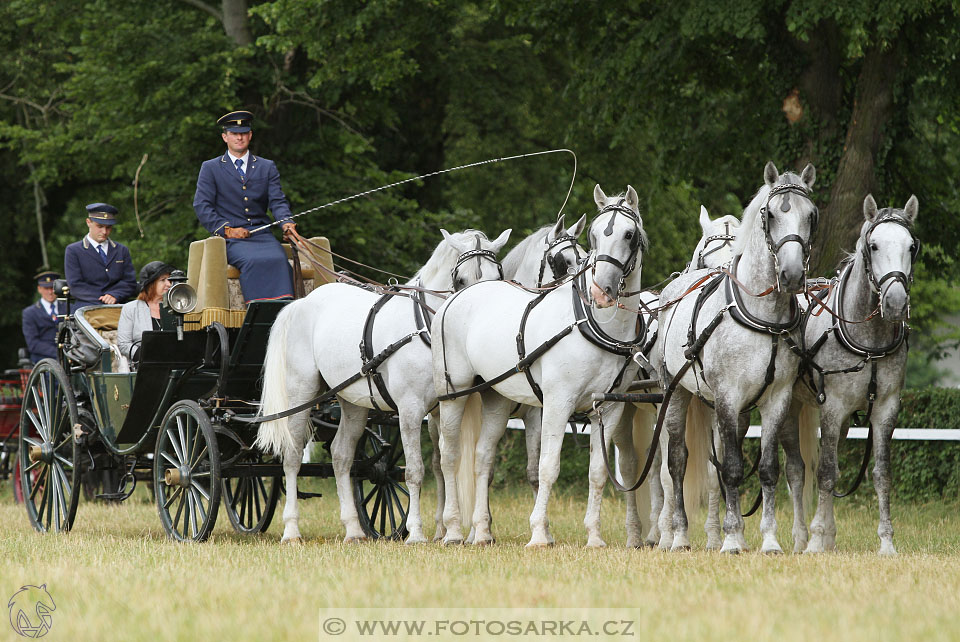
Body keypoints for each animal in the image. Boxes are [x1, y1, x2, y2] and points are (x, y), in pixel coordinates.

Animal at [253, 225, 510, 540]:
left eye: (496, 277)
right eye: (461, 279)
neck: (424, 329)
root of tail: (302, 303)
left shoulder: (441, 408)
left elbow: (444, 463)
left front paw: (447, 530)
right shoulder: (410, 410)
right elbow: (415, 470)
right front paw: (416, 533)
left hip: (352, 401)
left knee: (341, 455)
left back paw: (353, 529)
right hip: (301, 393)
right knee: (291, 455)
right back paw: (291, 529)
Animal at [434, 184, 644, 544]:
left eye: (629, 234)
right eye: (594, 235)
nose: (601, 290)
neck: (594, 324)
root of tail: (457, 298)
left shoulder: (608, 408)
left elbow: (598, 472)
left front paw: (593, 536)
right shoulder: (556, 403)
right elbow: (547, 467)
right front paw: (538, 534)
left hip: (495, 398)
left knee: (483, 457)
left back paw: (482, 531)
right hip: (454, 393)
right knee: (449, 455)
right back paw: (452, 530)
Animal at [648, 162, 812, 552]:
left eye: (811, 215)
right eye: (771, 214)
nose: (792, 274)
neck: (763, 316)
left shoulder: (775, 400)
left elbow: (766, 469)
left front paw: (769, 540)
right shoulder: (727, 397)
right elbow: (733, 469)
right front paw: (733, 538)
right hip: (674, 393)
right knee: (677, 462)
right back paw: (678, 535)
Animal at [784, 192, 920, 552]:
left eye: (911, 246)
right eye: (873, 245)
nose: (896, 302)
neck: (869, 341)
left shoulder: (886, 409)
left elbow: (881, 474)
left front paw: (886, 542)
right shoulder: (832, 407)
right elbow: (826, 472)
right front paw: (817, 540)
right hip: (787, 406)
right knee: (796, 470)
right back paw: (801, 538)